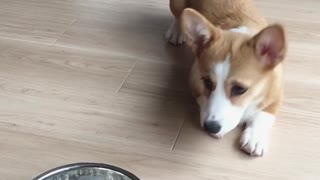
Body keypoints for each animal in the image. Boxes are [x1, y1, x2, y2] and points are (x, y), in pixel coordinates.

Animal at [165, 0, 288, 156]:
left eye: (240, 89)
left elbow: (264, 113)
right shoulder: (194, 80)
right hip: (176, 5)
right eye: (207, 82)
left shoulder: (277, 93)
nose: (210, 128)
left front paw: (255, 137)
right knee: (178, 15)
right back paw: (176, 31)